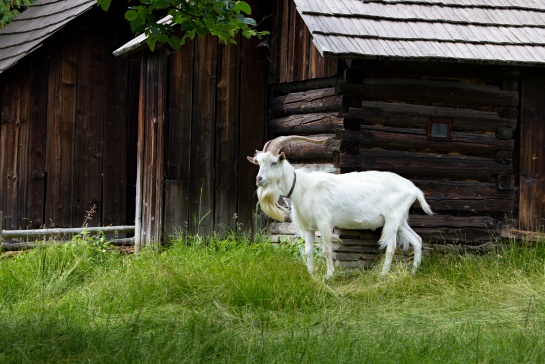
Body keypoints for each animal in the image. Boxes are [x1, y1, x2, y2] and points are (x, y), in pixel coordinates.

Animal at [249, 136, 432, 276]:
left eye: (274, 162)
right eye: (259, 163)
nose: (259, 179)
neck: (303, 187)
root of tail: (413, 189)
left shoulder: (324, 223)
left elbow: (326, 250)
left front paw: (329, 275)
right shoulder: (309, 227)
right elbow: (309, 251)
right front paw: (311, 274)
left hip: (393, 219)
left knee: (392, 247)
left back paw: (383, 275)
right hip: (401, 221)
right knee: (417, 239)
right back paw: (414, 271)